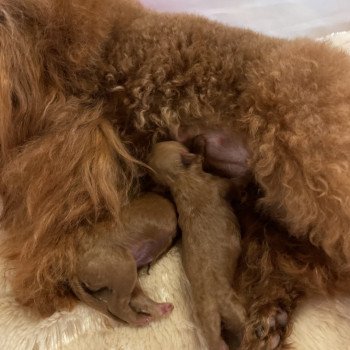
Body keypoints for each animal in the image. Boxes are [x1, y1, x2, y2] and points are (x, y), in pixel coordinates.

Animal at [70, 191, 178, 326]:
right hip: (124, 266)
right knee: (116, 306)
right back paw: (142, 319)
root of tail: (74, 271)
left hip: (122, 277)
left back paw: (162, 309)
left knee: (135, 299)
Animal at [148, 142, 246, 350]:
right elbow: (236, 183)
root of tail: (210, 305)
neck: (181, 179)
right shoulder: (220, 184)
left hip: (209, 324)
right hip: (232, 307)